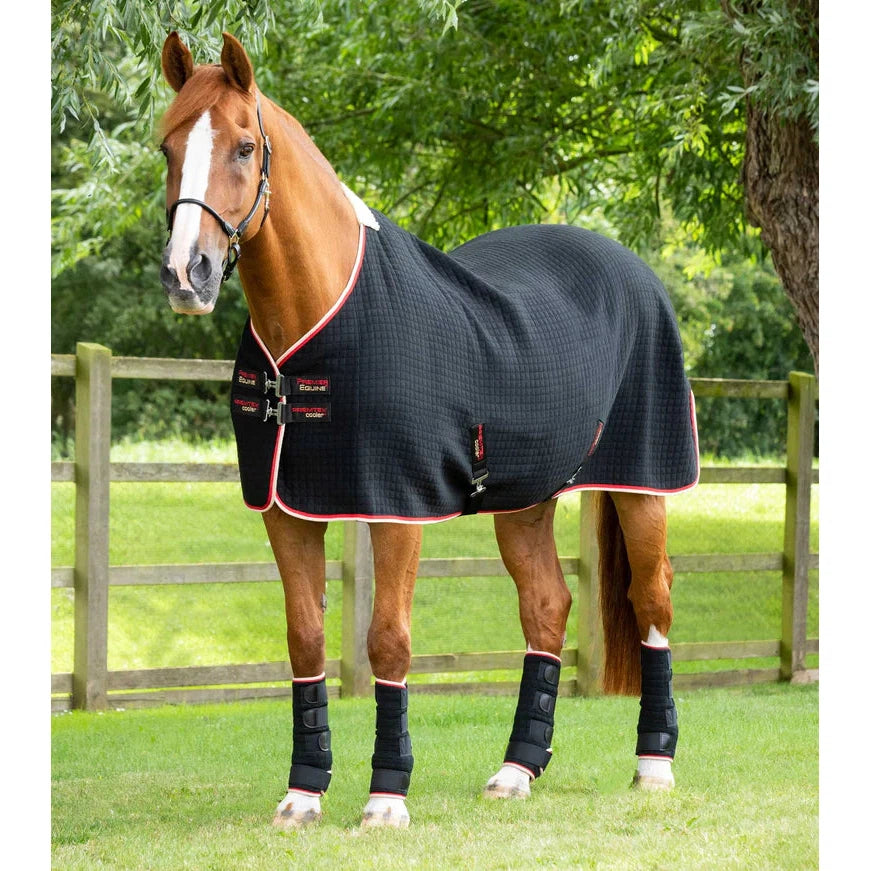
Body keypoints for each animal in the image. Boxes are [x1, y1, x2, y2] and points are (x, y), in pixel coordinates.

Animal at [157, 32, 699, 829]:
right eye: (167, 147)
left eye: (245, 147)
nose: (186, 274)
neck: (321, 319)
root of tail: (628, 266)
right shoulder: (285, 510)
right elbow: (305, 639)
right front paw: (303, 792)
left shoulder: (395, 507)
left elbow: (388, 641)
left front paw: (386, 797)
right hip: (524, 499)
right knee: (546, 608)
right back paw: (515, 769)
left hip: (643, 484)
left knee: (651, 600)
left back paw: (655, 764)